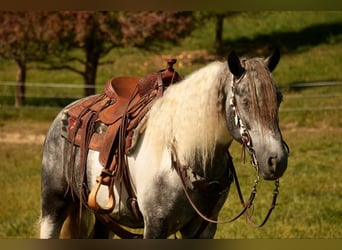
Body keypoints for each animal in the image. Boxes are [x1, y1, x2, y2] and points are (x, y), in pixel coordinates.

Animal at [38, 48, 288, 238]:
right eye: (245, 101)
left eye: (279, 98)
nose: (276, 160)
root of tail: (67, 111)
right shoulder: (155, 226)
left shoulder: (203, 229)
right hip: (54, 203)